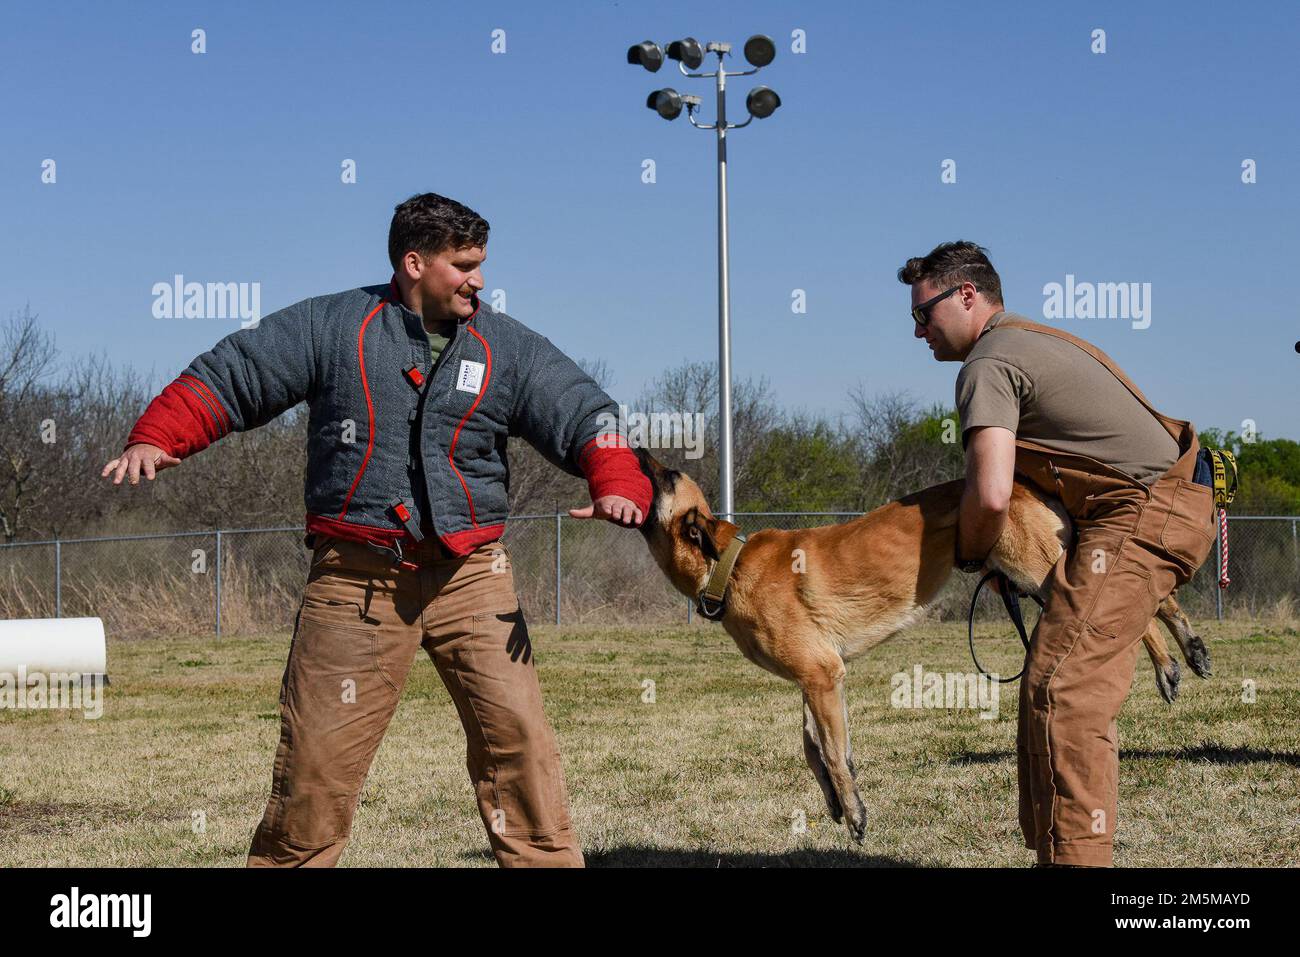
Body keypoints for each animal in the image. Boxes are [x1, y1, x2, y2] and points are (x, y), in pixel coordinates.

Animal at [634, 452, 1211, 842]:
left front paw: (855, 812)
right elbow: (817, 748)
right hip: (1038, 576)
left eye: (665, 476)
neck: (727, 566)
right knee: (1159, 598)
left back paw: (1167, 665)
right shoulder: (818, 678)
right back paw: (1190, 646)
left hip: (1038, 574)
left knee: (1134, 612)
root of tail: (1024, 482)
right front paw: (839, 800)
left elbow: (831, 753)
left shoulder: (820, 675)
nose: (636, 445)